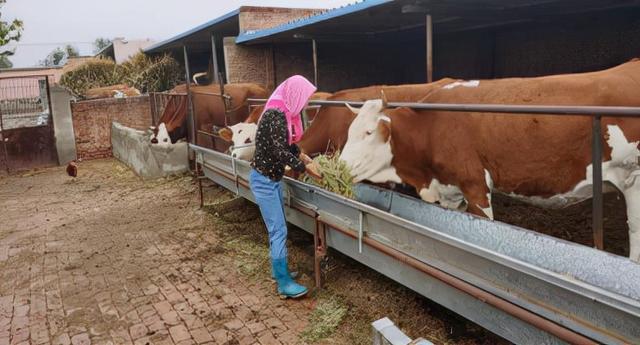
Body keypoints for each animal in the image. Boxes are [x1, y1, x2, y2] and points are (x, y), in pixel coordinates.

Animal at [342, 59, 640, 260]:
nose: (338, 166)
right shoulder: (450, 190)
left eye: (368, 132)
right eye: (349, 131)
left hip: (633, 180)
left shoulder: (475, 185)